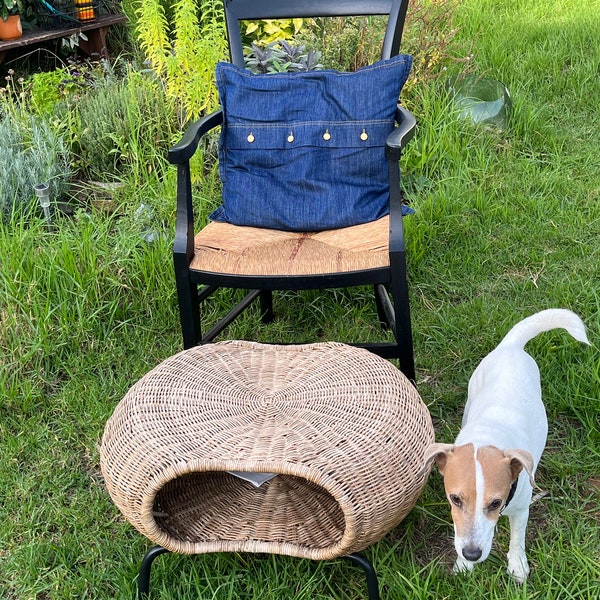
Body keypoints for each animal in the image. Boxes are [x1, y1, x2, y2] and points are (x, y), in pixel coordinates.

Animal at [424, 310, 588, 580]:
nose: (471, 554)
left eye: (495, 503)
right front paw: (463, 564)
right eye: (455, 499)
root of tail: (511, 345)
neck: (488, 437)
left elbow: (517, 538)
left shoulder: (521, 509)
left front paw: (517, 565)